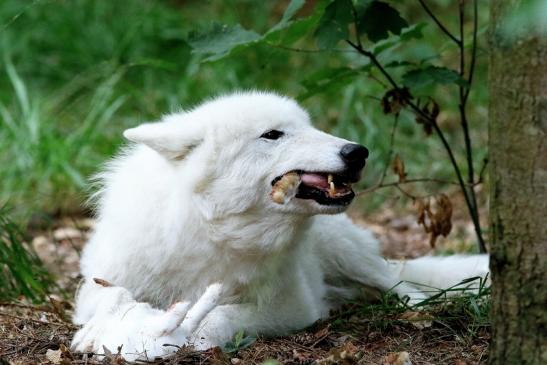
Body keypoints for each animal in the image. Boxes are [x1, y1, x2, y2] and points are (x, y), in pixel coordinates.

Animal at [71, 91, 488, 362]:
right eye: (273, 134)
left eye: (310, 126)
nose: (358, 152)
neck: (214, 231)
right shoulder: (98, 285)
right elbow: (109, 297)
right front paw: (102, 331)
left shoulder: (293, 305)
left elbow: (223, 313)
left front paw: (189, 335)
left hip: (352, 256)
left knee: (401, 285)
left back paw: (427, 308)